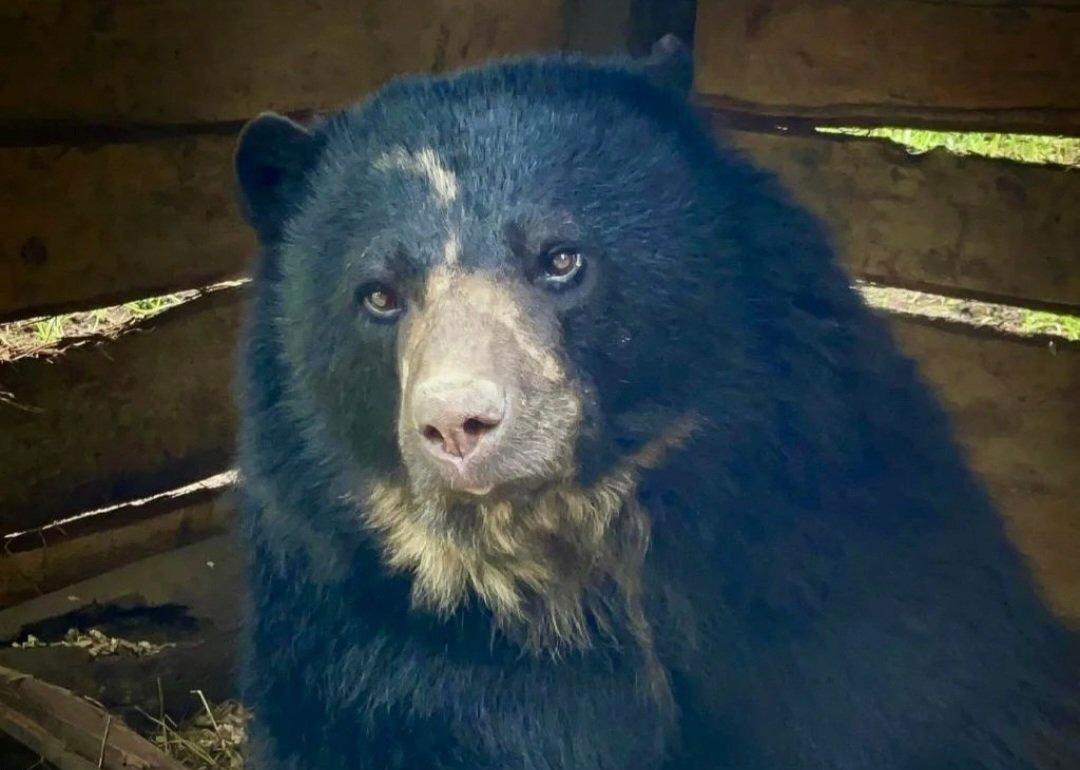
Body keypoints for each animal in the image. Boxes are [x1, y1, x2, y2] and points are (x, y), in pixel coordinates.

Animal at [233, 37, 1079, 769]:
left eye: (561, 259)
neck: (575, 560)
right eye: (379, 295)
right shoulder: (373, 663)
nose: (457, 425)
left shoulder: (847, 569)